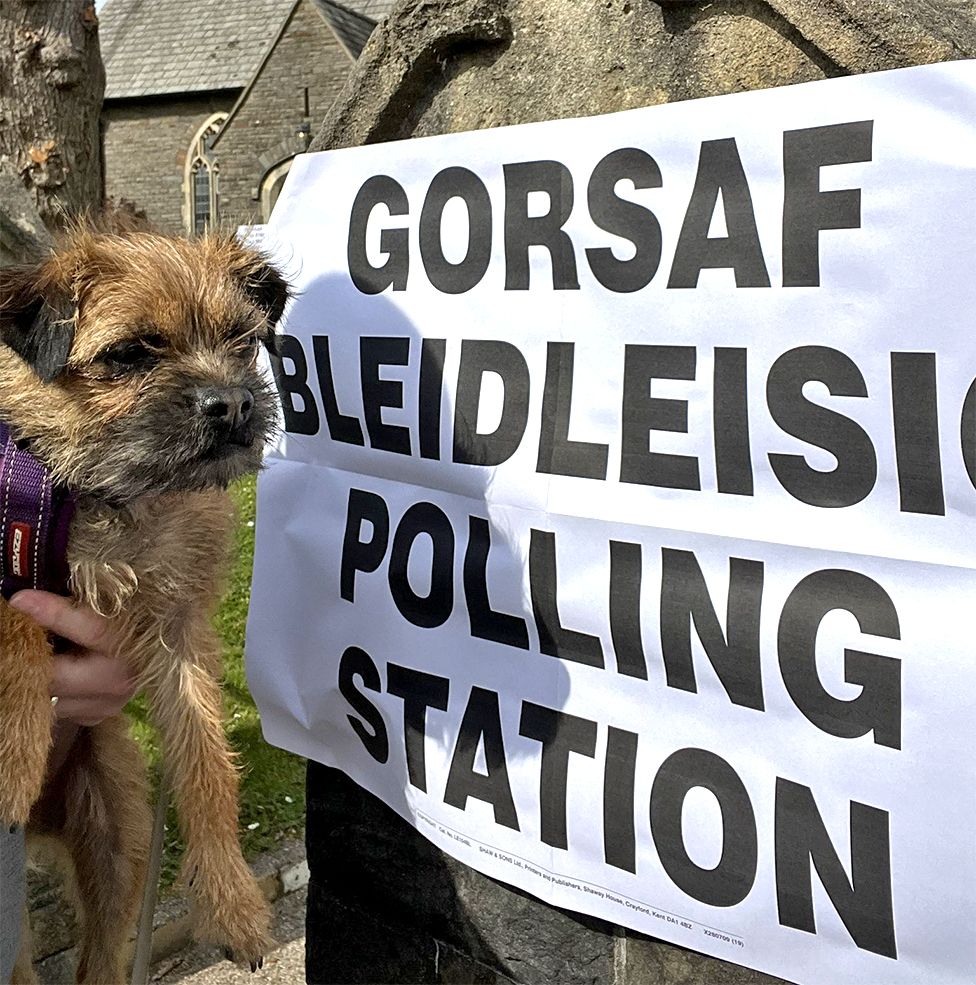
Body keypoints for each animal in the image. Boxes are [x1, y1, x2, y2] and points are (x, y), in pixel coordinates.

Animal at [0, 227, 288, 980]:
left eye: (243, 339)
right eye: (129, 353)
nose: (232, 404)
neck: (99, 493)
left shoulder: (179, 627)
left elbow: (207, 760)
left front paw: (231, 899)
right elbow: (16, 619)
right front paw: (12, 754)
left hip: (117, 837)